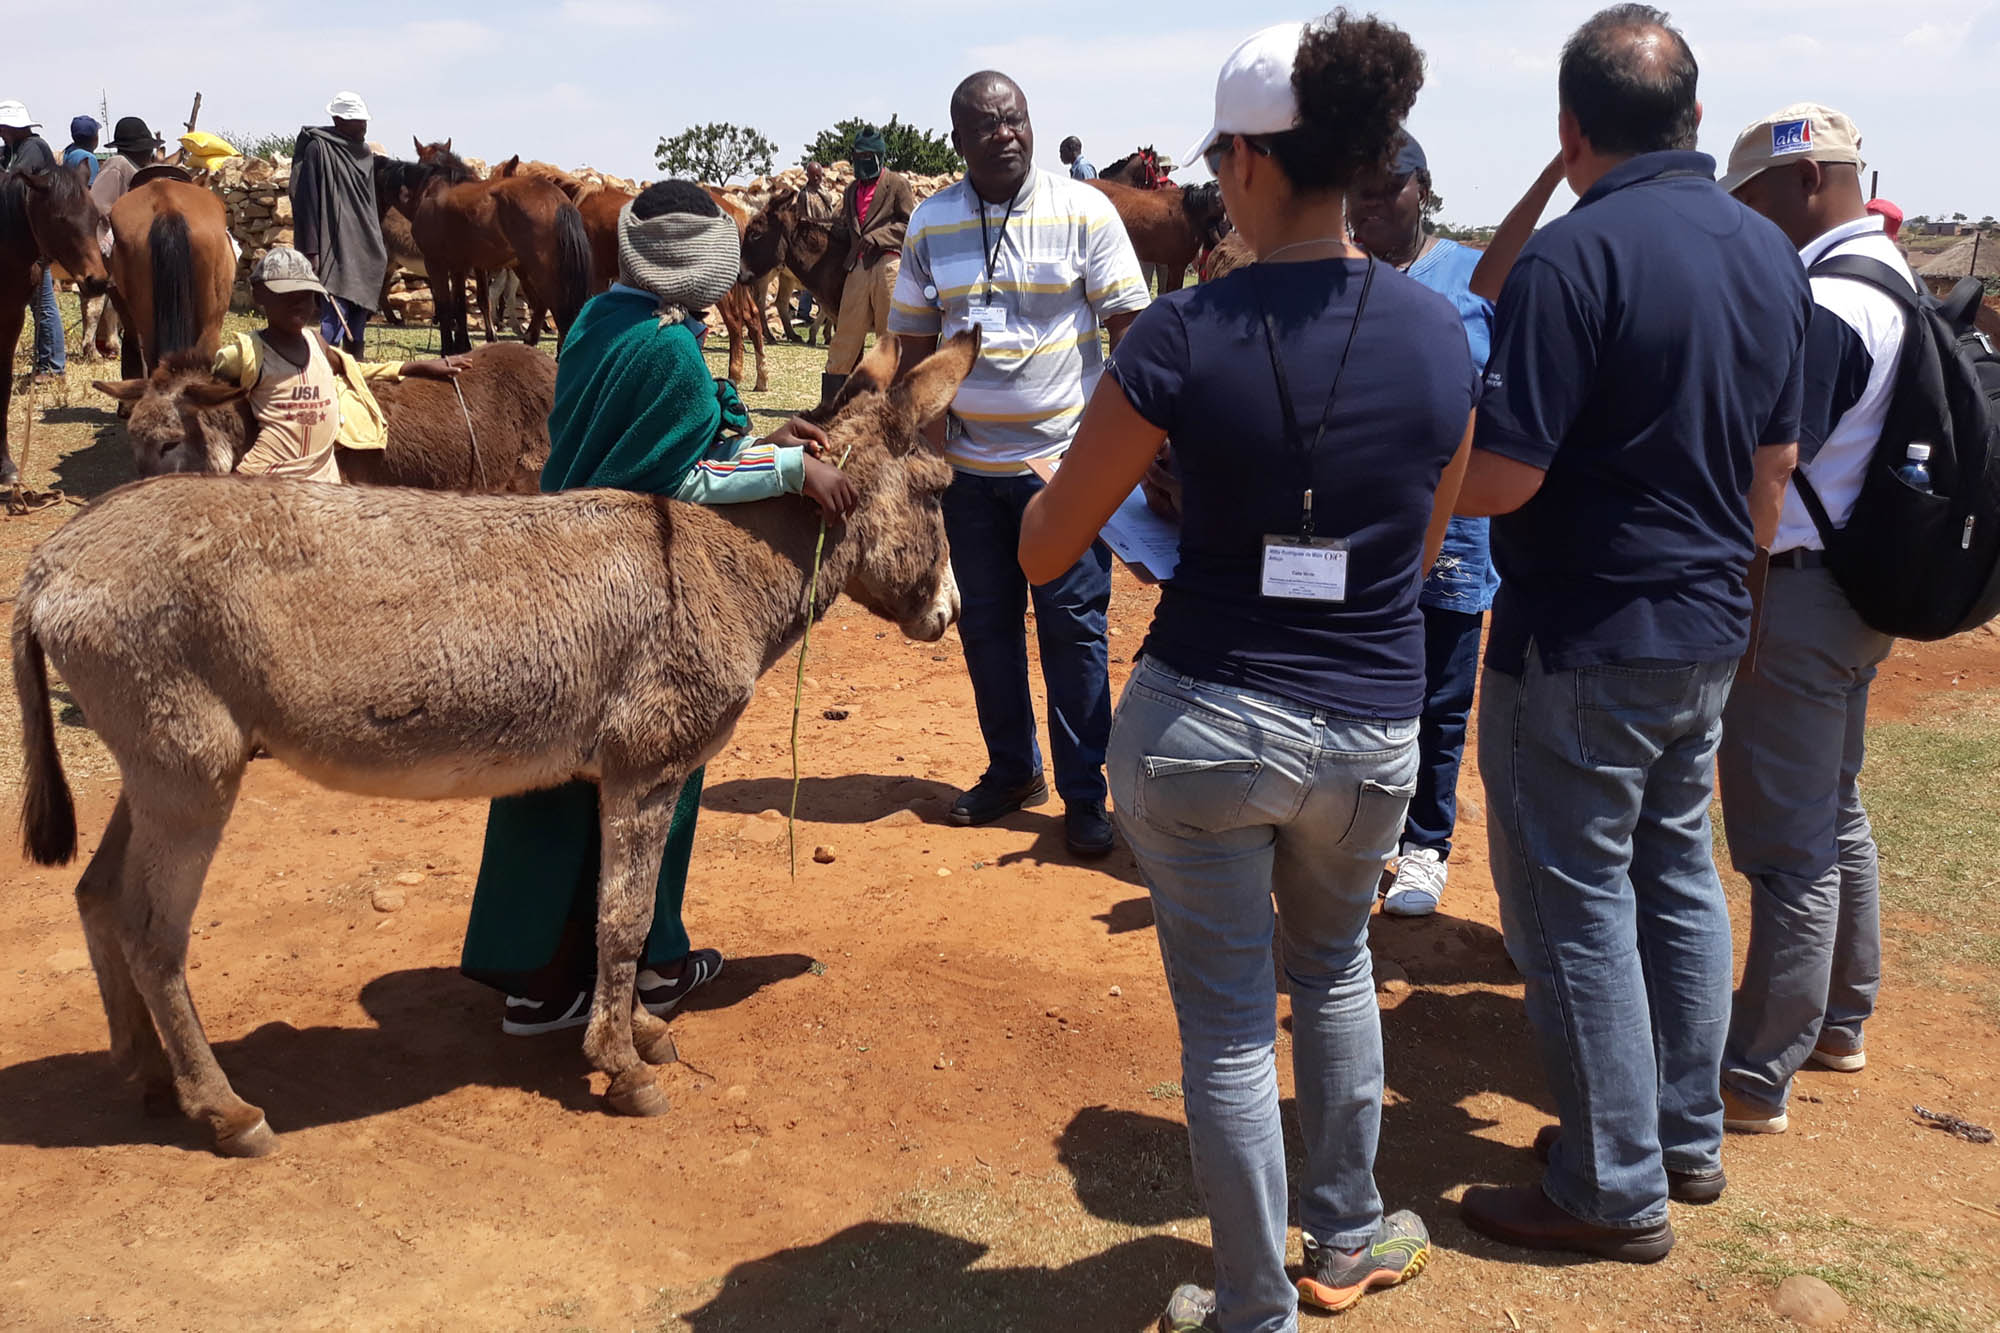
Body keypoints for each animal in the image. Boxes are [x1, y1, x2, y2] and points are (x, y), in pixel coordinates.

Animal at [404, 140, 584, 352]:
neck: (438, 188)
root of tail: (558, 200)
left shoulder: (435, 263)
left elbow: (445, 306)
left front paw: (448, 349)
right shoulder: (459, 266)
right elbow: (461, 305)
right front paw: (463, 346)